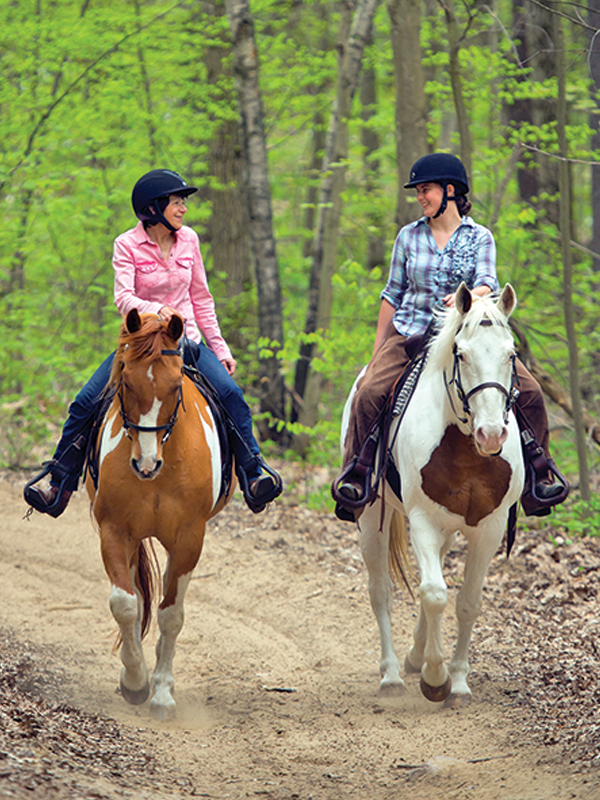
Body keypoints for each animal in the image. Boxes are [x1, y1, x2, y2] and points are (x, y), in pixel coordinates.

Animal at [86, 309, 233, 720]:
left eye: (174, 386)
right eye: (126, 382)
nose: (145, 465)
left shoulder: (189, 538)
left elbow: (171, 615)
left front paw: (163, 693)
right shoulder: (115, 531)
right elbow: (125, 605)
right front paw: (135, 682)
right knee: (137, 600)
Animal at [341, 283, 524, 707]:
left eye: (511, 354)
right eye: (461, 353)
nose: (492, 434)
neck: (465, 448)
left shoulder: (489, 528)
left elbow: (467, 602)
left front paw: (457, 682)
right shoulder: (422, 521)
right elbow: (436, 594)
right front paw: (435, 678)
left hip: (449, 529)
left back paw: (415, 654)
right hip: (372, 518)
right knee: (382, 592)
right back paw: (392, 675)